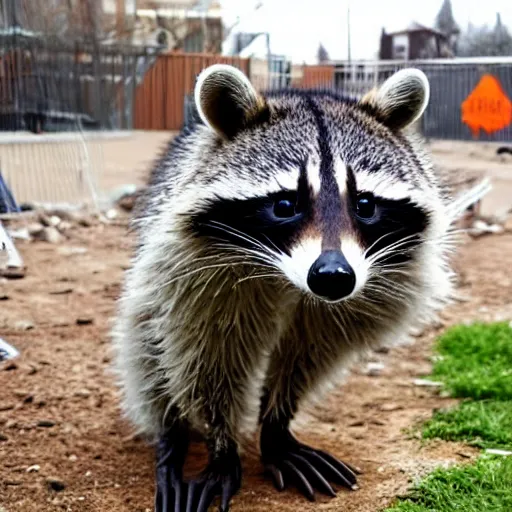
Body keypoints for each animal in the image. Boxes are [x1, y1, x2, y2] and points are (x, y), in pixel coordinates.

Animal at [114, 65, 458, 512]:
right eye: (285, 205)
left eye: (365, 205)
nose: (333, 276)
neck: (288, 277)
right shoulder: (195, 272)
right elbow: (206, 356)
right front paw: (220, 443)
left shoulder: (365, 291)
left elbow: (312, 351)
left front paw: (276, 423)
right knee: (146, 343)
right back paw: (171, 436)